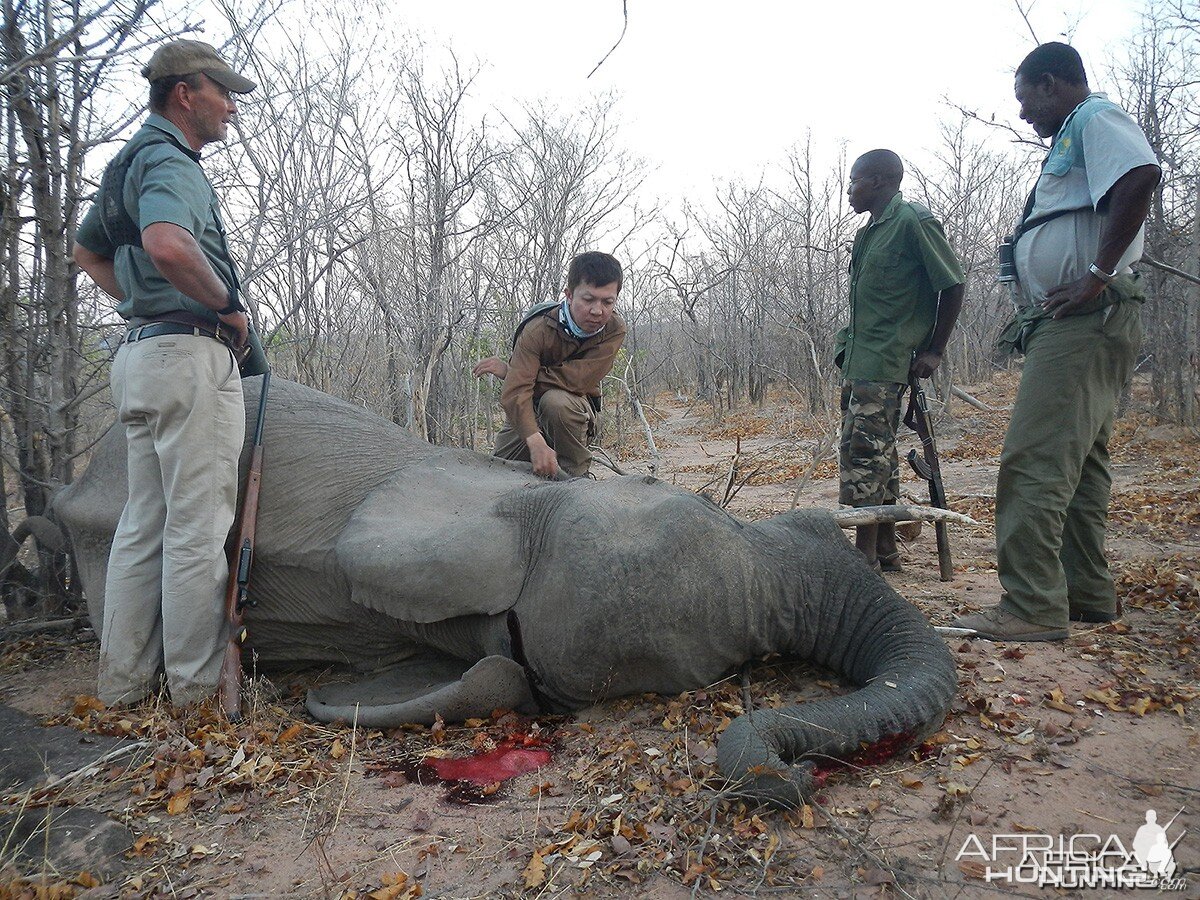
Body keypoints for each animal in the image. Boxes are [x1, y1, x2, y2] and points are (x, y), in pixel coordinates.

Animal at [54, 376, 955, 806]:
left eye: (738, 663)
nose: (800, 778)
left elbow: (491, 674)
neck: (534, 501)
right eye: (701, 505)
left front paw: (335, 698)